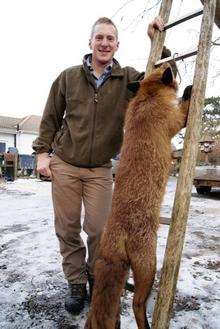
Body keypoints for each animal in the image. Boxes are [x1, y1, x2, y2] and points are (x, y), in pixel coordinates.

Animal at [85, 62, 192, 326]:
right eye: (171, 69)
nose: (172, 60)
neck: (147, 98)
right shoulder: (174, 120)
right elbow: (184, 109)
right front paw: (189, 90)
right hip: (148, 267)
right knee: (137, 303)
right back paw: (146, 323)